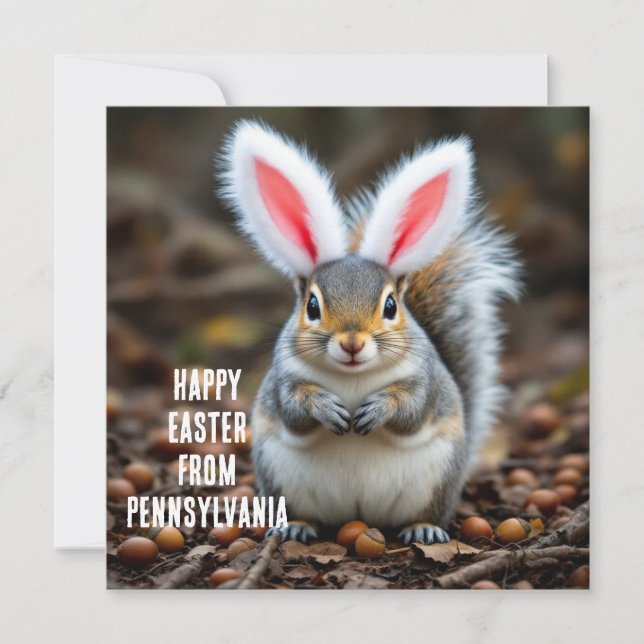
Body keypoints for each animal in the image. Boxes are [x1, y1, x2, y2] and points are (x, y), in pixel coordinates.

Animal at [218, 120, 520, 545]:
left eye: (391, 306)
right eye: (312, 306)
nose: (352, 343)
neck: (352, 378)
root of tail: (357, 514)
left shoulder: (426, 379)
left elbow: (412, 409)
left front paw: (380, 408)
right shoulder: (283, 378)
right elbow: (293, 408)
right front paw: (324, 406)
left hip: (436, 480)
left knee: (425, 512)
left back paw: (424, 528)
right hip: (281, 479)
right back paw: (297, 525)